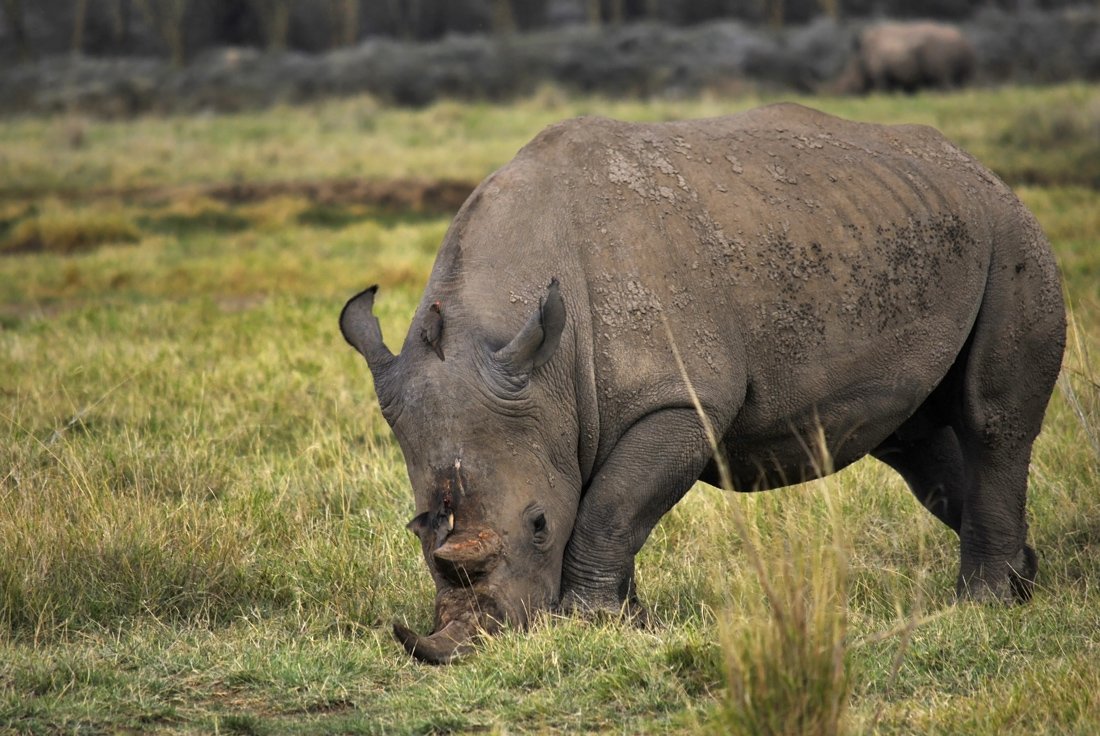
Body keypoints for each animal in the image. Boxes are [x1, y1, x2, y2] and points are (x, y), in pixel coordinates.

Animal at [340, 103, 1065, 664]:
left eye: (539, 525)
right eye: (419, 527)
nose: (466, 645)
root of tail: (977, 168)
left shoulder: (678, 402)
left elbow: (609, 508)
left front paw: (589, 623)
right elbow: (616, 507)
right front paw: (628, 624)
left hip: (1009, 232)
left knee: (990, 424)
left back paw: (982, 604)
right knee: (916, 448)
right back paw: (1024, 582)